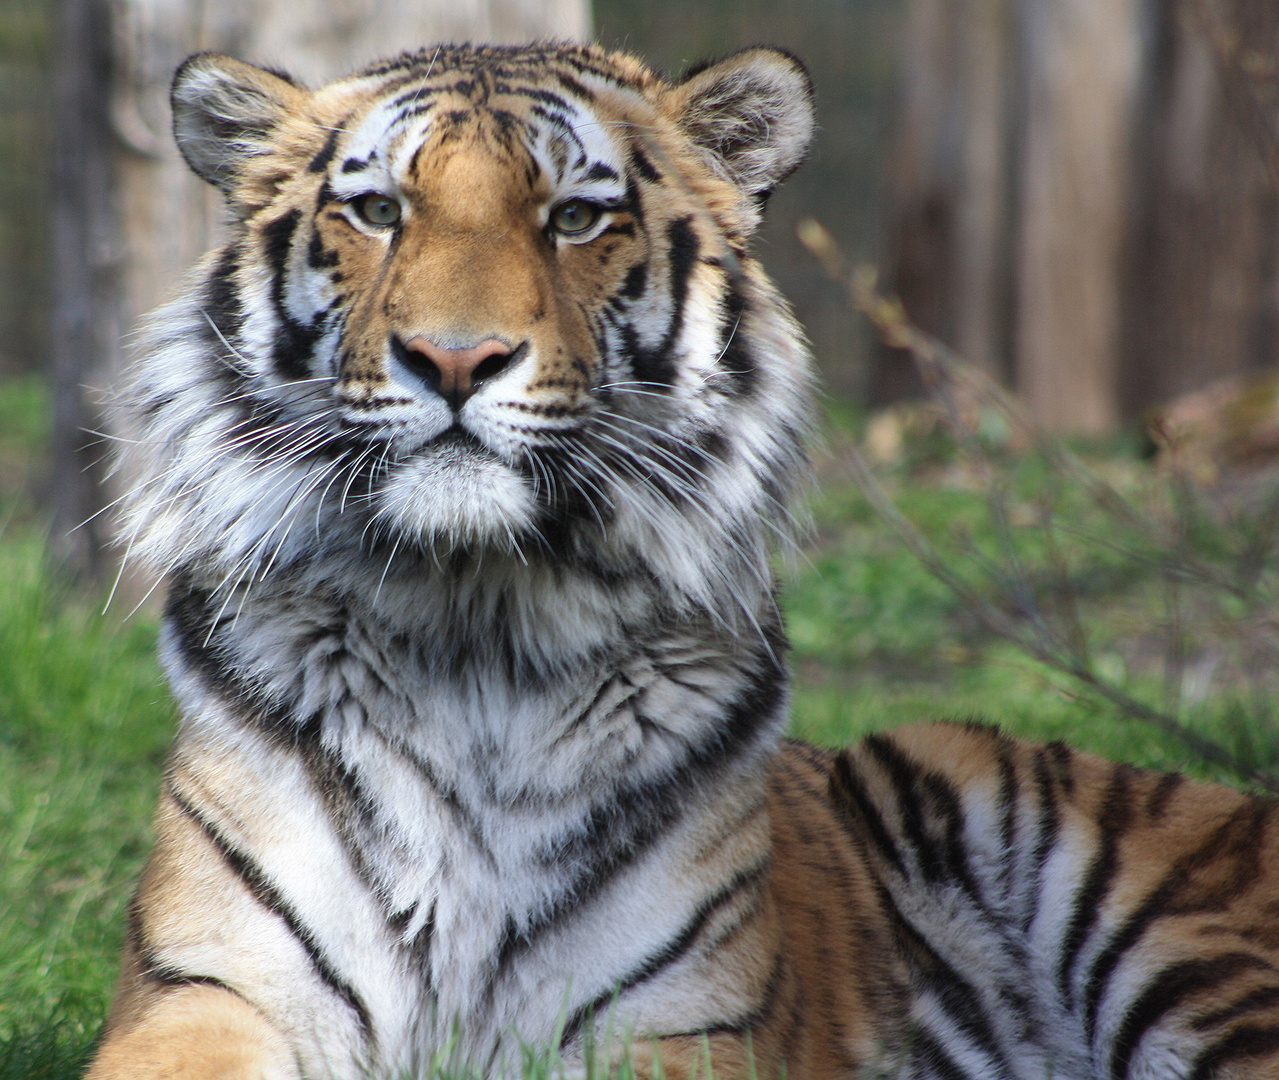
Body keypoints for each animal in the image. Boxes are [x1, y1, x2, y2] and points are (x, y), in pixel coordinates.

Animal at [87, 40, 1279, 1080]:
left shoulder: (679, 1027)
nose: (455, 359)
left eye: (575, 218)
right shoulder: (207, 990)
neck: (473, 621)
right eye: (378, 211)